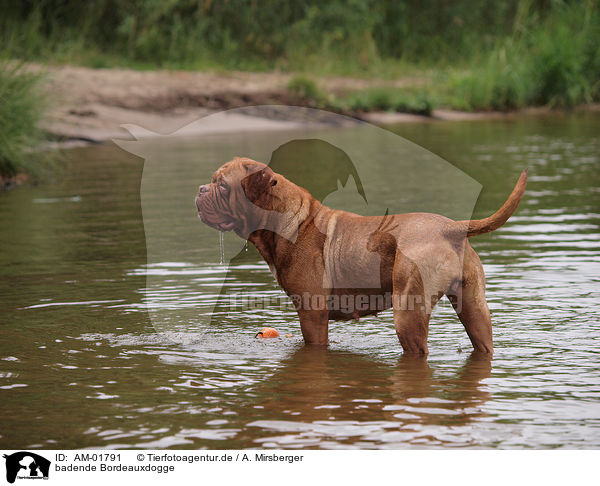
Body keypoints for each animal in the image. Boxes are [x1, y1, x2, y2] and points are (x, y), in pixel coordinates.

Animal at [197, 158, 524, 356]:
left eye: (222, 185)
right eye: (211, 180)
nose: (200, 189)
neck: (289, 221)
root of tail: (450, 227)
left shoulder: (312, 315)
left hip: (408, 314)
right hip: (474, 309)